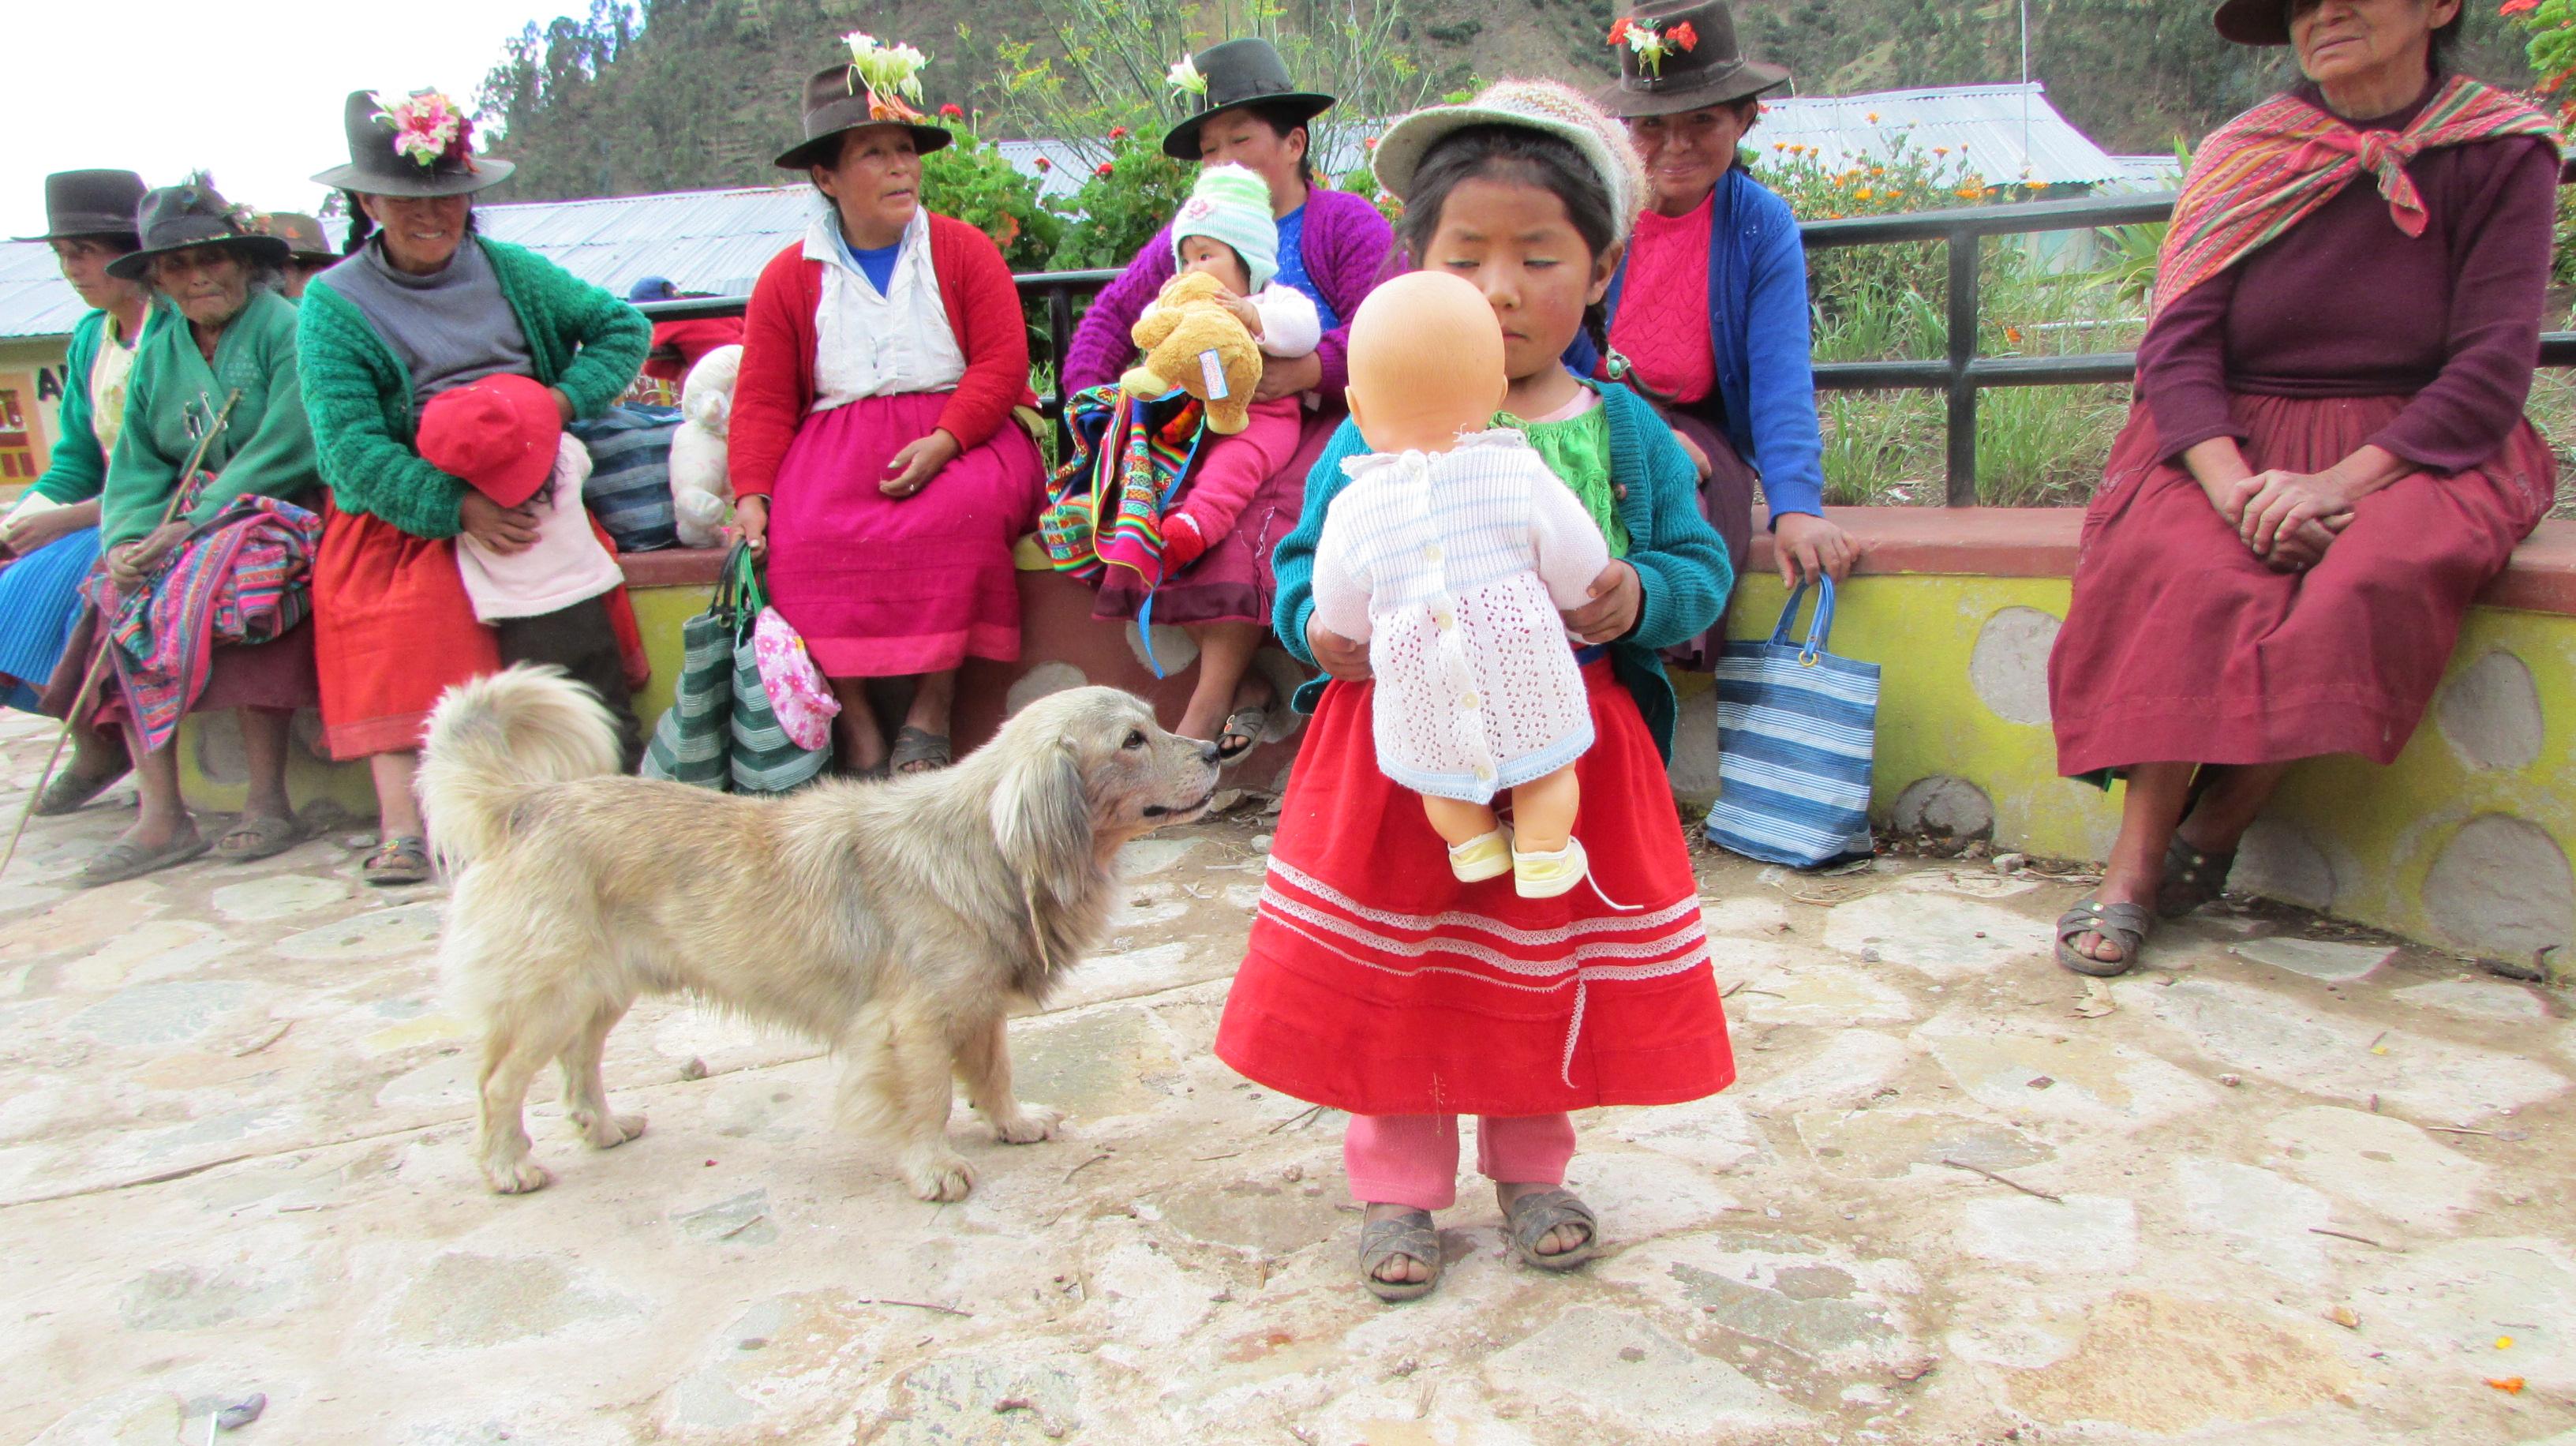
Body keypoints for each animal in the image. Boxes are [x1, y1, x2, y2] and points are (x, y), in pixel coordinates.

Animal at [417, 670, 1221, 1201]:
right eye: (1132, 740)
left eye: (1156, 724)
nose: (1218, 750)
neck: (988, 845)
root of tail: (527, 802)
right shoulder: (911, 1025)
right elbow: (928, 1097)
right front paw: (932, 1167)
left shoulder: (976, 1006)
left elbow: (994, 1075)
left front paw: (1013, 1124)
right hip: (549, 996)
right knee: (497, 1083)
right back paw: (507, 1165)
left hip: (602, 989)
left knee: (579, 1062)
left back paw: (603, 1126)